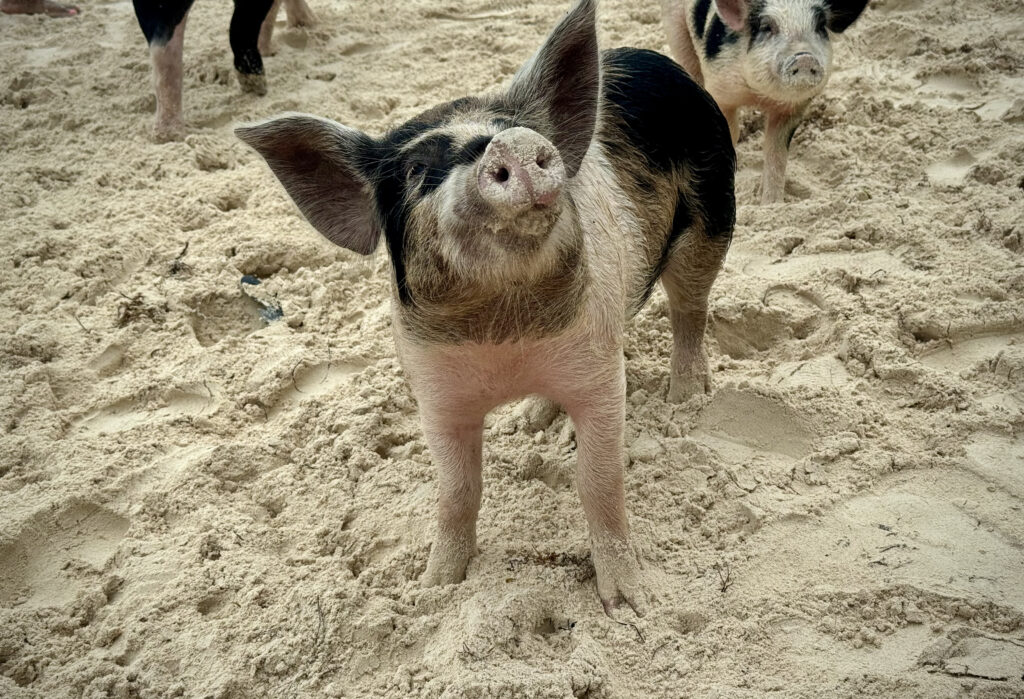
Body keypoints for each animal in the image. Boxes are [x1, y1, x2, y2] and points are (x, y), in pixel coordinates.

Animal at [236, 0, 735, 614]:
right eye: (417, 171)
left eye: (519, 133)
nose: (514, 145)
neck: (506, 336)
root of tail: (663, 64)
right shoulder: (434, 391)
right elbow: (457, 492)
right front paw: (432, 590)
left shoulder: (598, 372)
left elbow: (599, 482)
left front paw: (629, 606)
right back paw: (530, 420)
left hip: (712, 220)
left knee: (691, 310)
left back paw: (684, 397)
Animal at [660, 0, 868, 203]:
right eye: (767, 27)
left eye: (820, 26)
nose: (804, 58)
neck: (759, 96)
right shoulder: (720, 91)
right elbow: (731, 133)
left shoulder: (793, 110)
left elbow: (776, 153)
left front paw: (771, 204)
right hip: (676, 28)